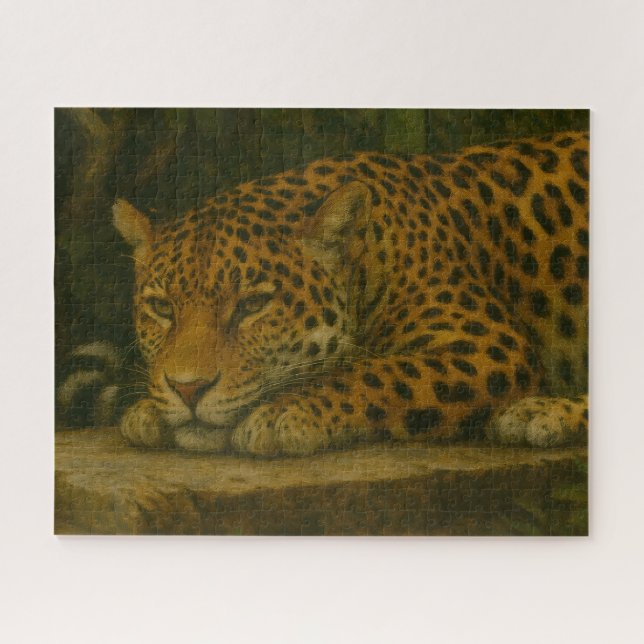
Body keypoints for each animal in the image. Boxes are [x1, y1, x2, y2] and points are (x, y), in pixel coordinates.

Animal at [107, 130, 588, 456]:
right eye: (161, 308)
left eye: (252, 305)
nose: (187, 390)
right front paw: (149, 409)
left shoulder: (491, 347)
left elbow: (380, 373)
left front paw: (284, 412)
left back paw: (539, 413)